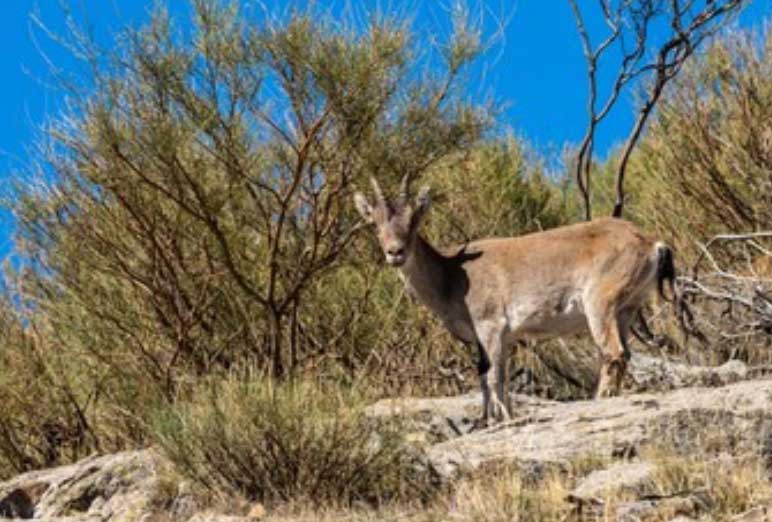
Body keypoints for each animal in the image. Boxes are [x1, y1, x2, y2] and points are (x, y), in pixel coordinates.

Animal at [356, 175, 676, 422]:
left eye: (414, 221)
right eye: (375, 224)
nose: (395, 252)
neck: (452, 275)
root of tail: (653, 244)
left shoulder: (490, 325)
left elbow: (492, 377)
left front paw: (498, 421)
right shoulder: (499, 337)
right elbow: (493, 377)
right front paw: (490, 420)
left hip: (600, 303)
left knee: (613, 352)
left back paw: (599, 401)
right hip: (627, 309)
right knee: (624, 353)